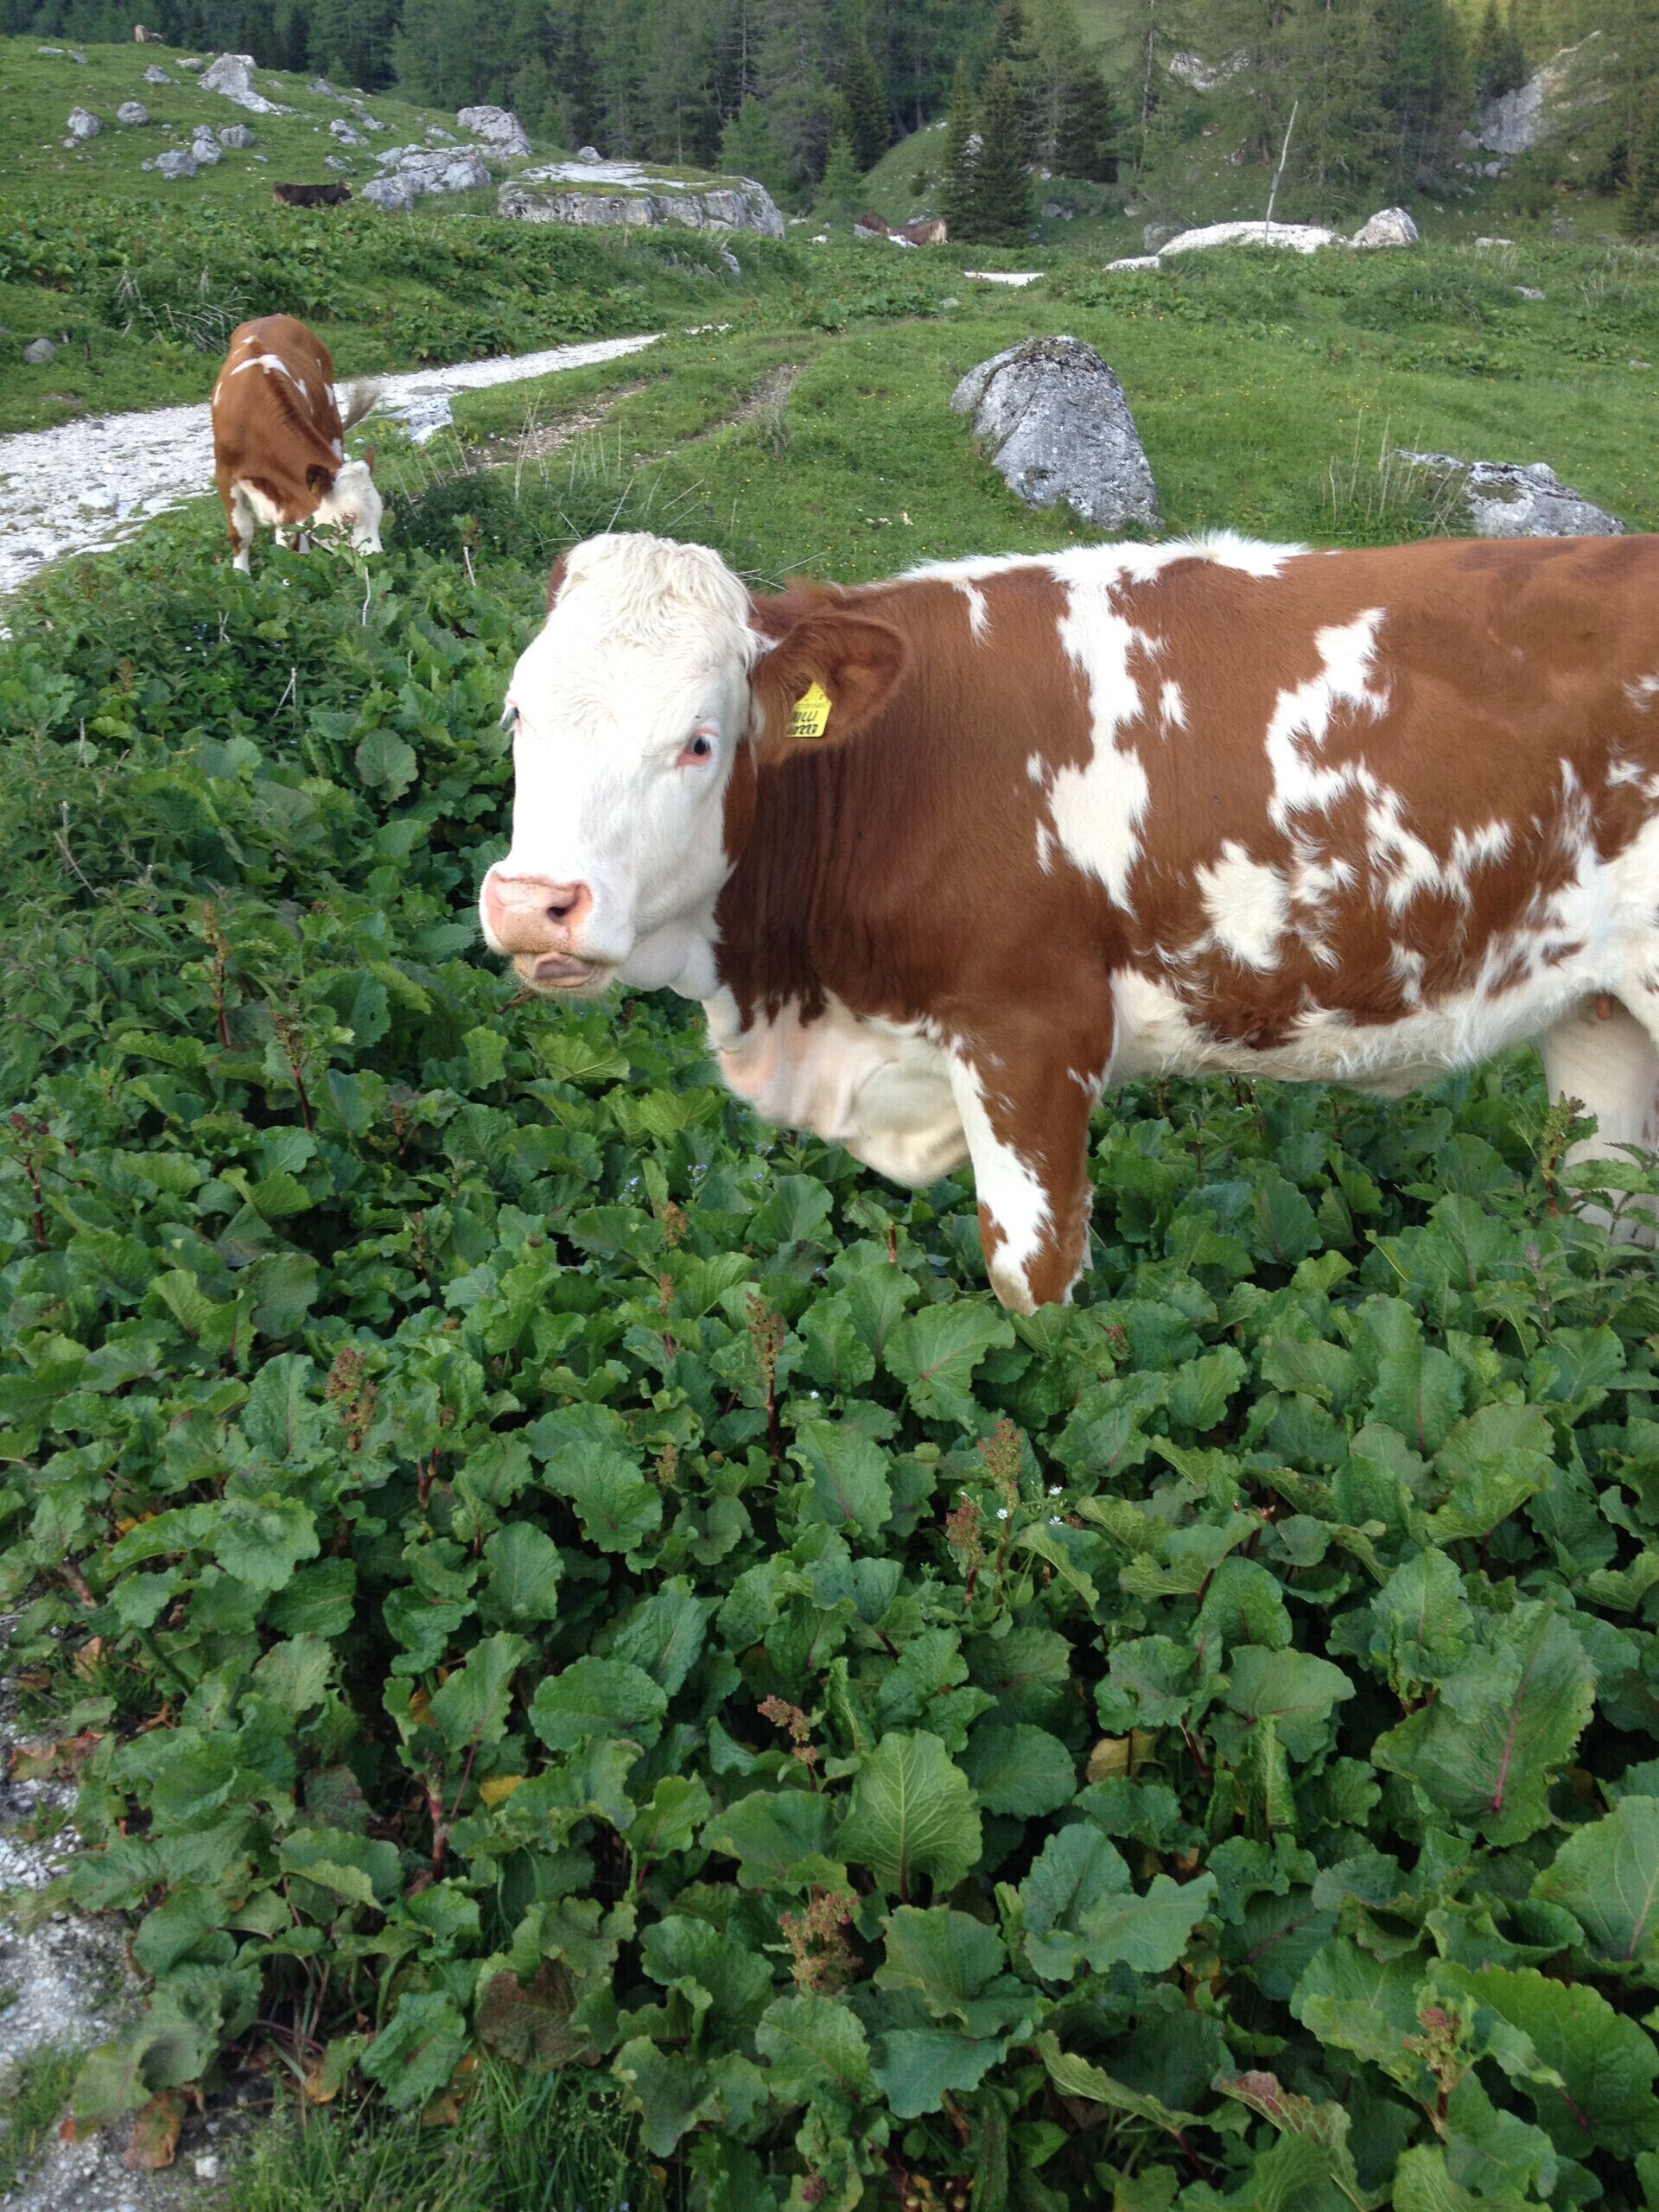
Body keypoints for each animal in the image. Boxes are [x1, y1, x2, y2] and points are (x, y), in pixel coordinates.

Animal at [209, 314, 382, 572]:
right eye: (348, 518)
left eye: (380, 512)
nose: (377, 561)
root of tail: (273, 317)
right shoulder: (224, 472)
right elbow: (241, 532)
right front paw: (241, 574)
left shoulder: (290, 490)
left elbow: (289, 543)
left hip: (331, 426)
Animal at [478, 528, 1659, 1313]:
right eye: (517, 711)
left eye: (700, 739)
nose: (535, 903)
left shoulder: (1034, 1035)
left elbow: (1029, 1279)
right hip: (1599, 1016)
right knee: (1606, 1221)